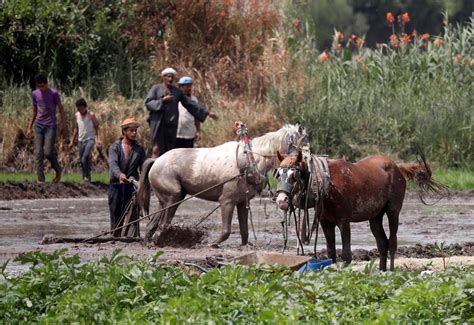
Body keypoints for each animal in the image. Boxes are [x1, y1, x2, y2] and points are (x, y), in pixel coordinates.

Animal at [139, 124, 306, 246]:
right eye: (302, 144)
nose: (305, 164)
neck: (249, 160)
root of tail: (156, 160)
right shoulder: (227, 201)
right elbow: (226, 230)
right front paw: (214, 243)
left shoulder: (241, 202)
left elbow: (244, 229)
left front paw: (246, 245)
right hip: (173, 197)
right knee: (164, 223)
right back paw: (159, 240)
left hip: (166, 199)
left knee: (153, 223)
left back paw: (149, 241)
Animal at [274, 150, 448, 270]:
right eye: (279, 174)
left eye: (294, 176)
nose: (281, 200)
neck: (328, 182)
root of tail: (397, 167)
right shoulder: (325, 222)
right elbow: (331, 252)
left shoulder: (344, 221)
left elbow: (346, 254)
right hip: (375, 217)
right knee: (382, 243)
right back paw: (381, 271)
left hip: (393, 211)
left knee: (392, 242)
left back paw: (391, 273)